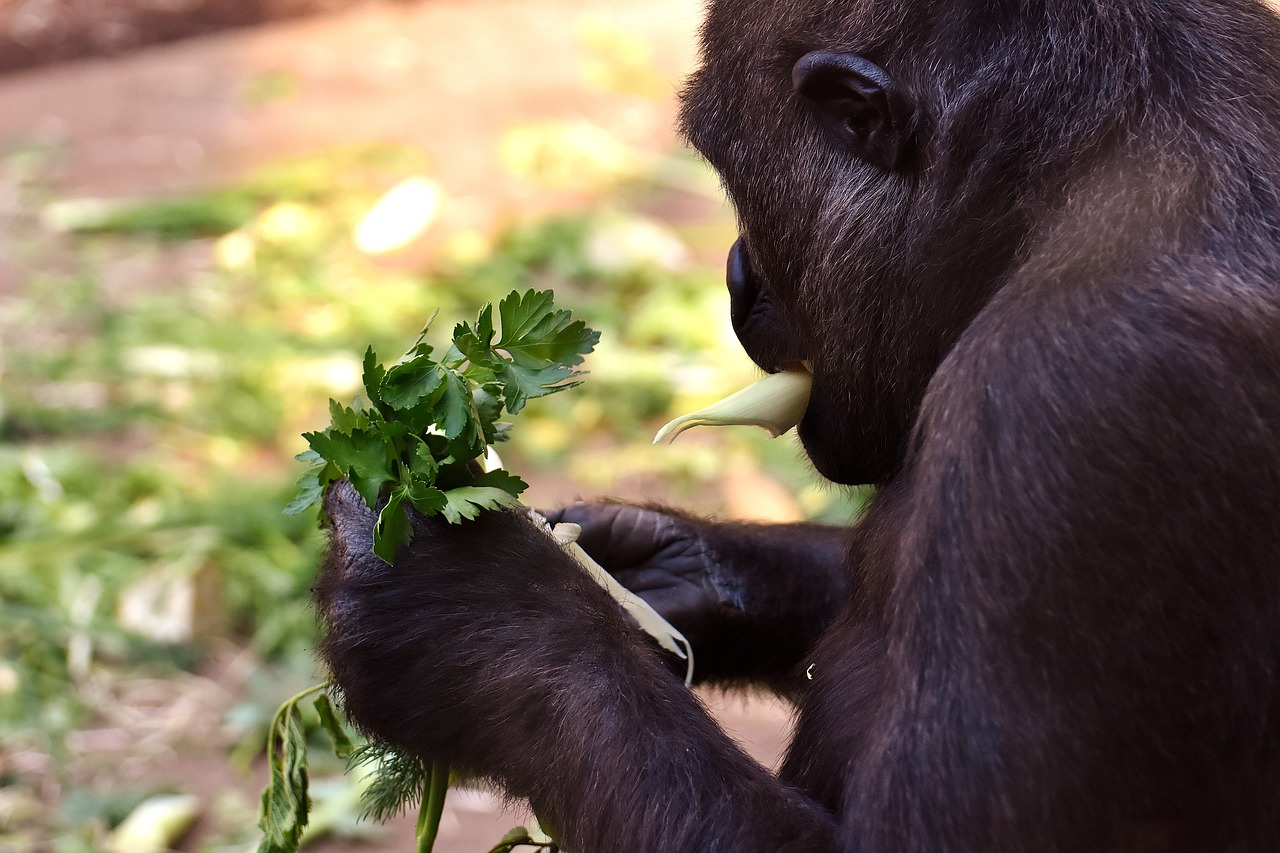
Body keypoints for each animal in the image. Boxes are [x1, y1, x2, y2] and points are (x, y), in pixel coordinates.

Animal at [314, 0, 1280, 845]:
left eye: (738, 179)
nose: (737, 277)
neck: (1060, 198)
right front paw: (675, 569)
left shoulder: (1070, 399)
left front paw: (471, 616)